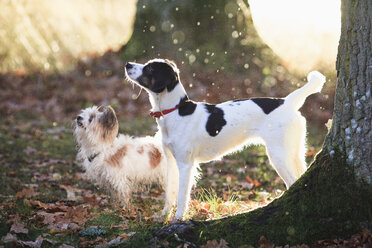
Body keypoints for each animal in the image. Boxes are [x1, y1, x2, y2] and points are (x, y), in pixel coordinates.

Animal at [124, 58, 322, 219]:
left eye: (149, 68)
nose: (127, 64)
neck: (175, 110)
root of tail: (286, 102)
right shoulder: (171, 162)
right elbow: (169, 192)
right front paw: (164, 215)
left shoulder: (186, 164)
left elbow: (181, 195)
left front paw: (178, 217)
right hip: (294, 152)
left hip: (278, 155)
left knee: (292, 181)